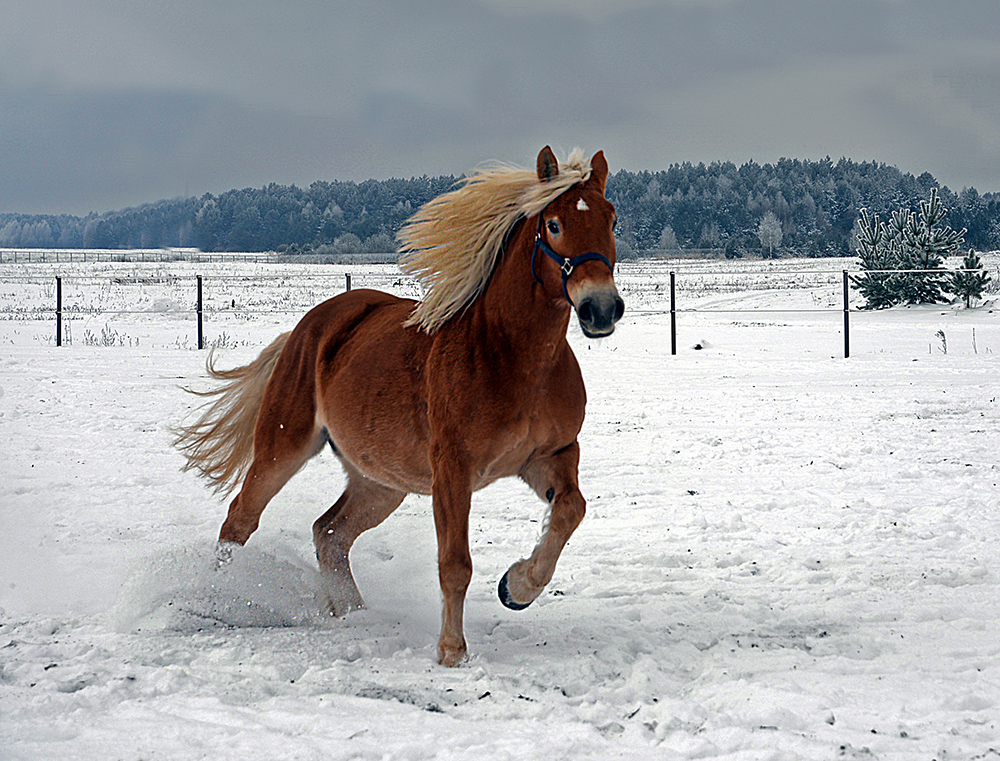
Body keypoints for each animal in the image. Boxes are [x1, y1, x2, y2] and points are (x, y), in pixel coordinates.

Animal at [174, 148, 624, 664]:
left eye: (612, 219)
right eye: (553, 224)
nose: (601, 308)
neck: (512, 355)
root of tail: (307, 328)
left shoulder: (550, 456)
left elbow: (571, 509)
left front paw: (517, 587)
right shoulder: (453, 469)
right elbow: (455, 564)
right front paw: (451, 651)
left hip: (380, 480)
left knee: (330, 533)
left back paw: (354, 614)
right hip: (282, 447)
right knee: (240, 520)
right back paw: (216, 600)